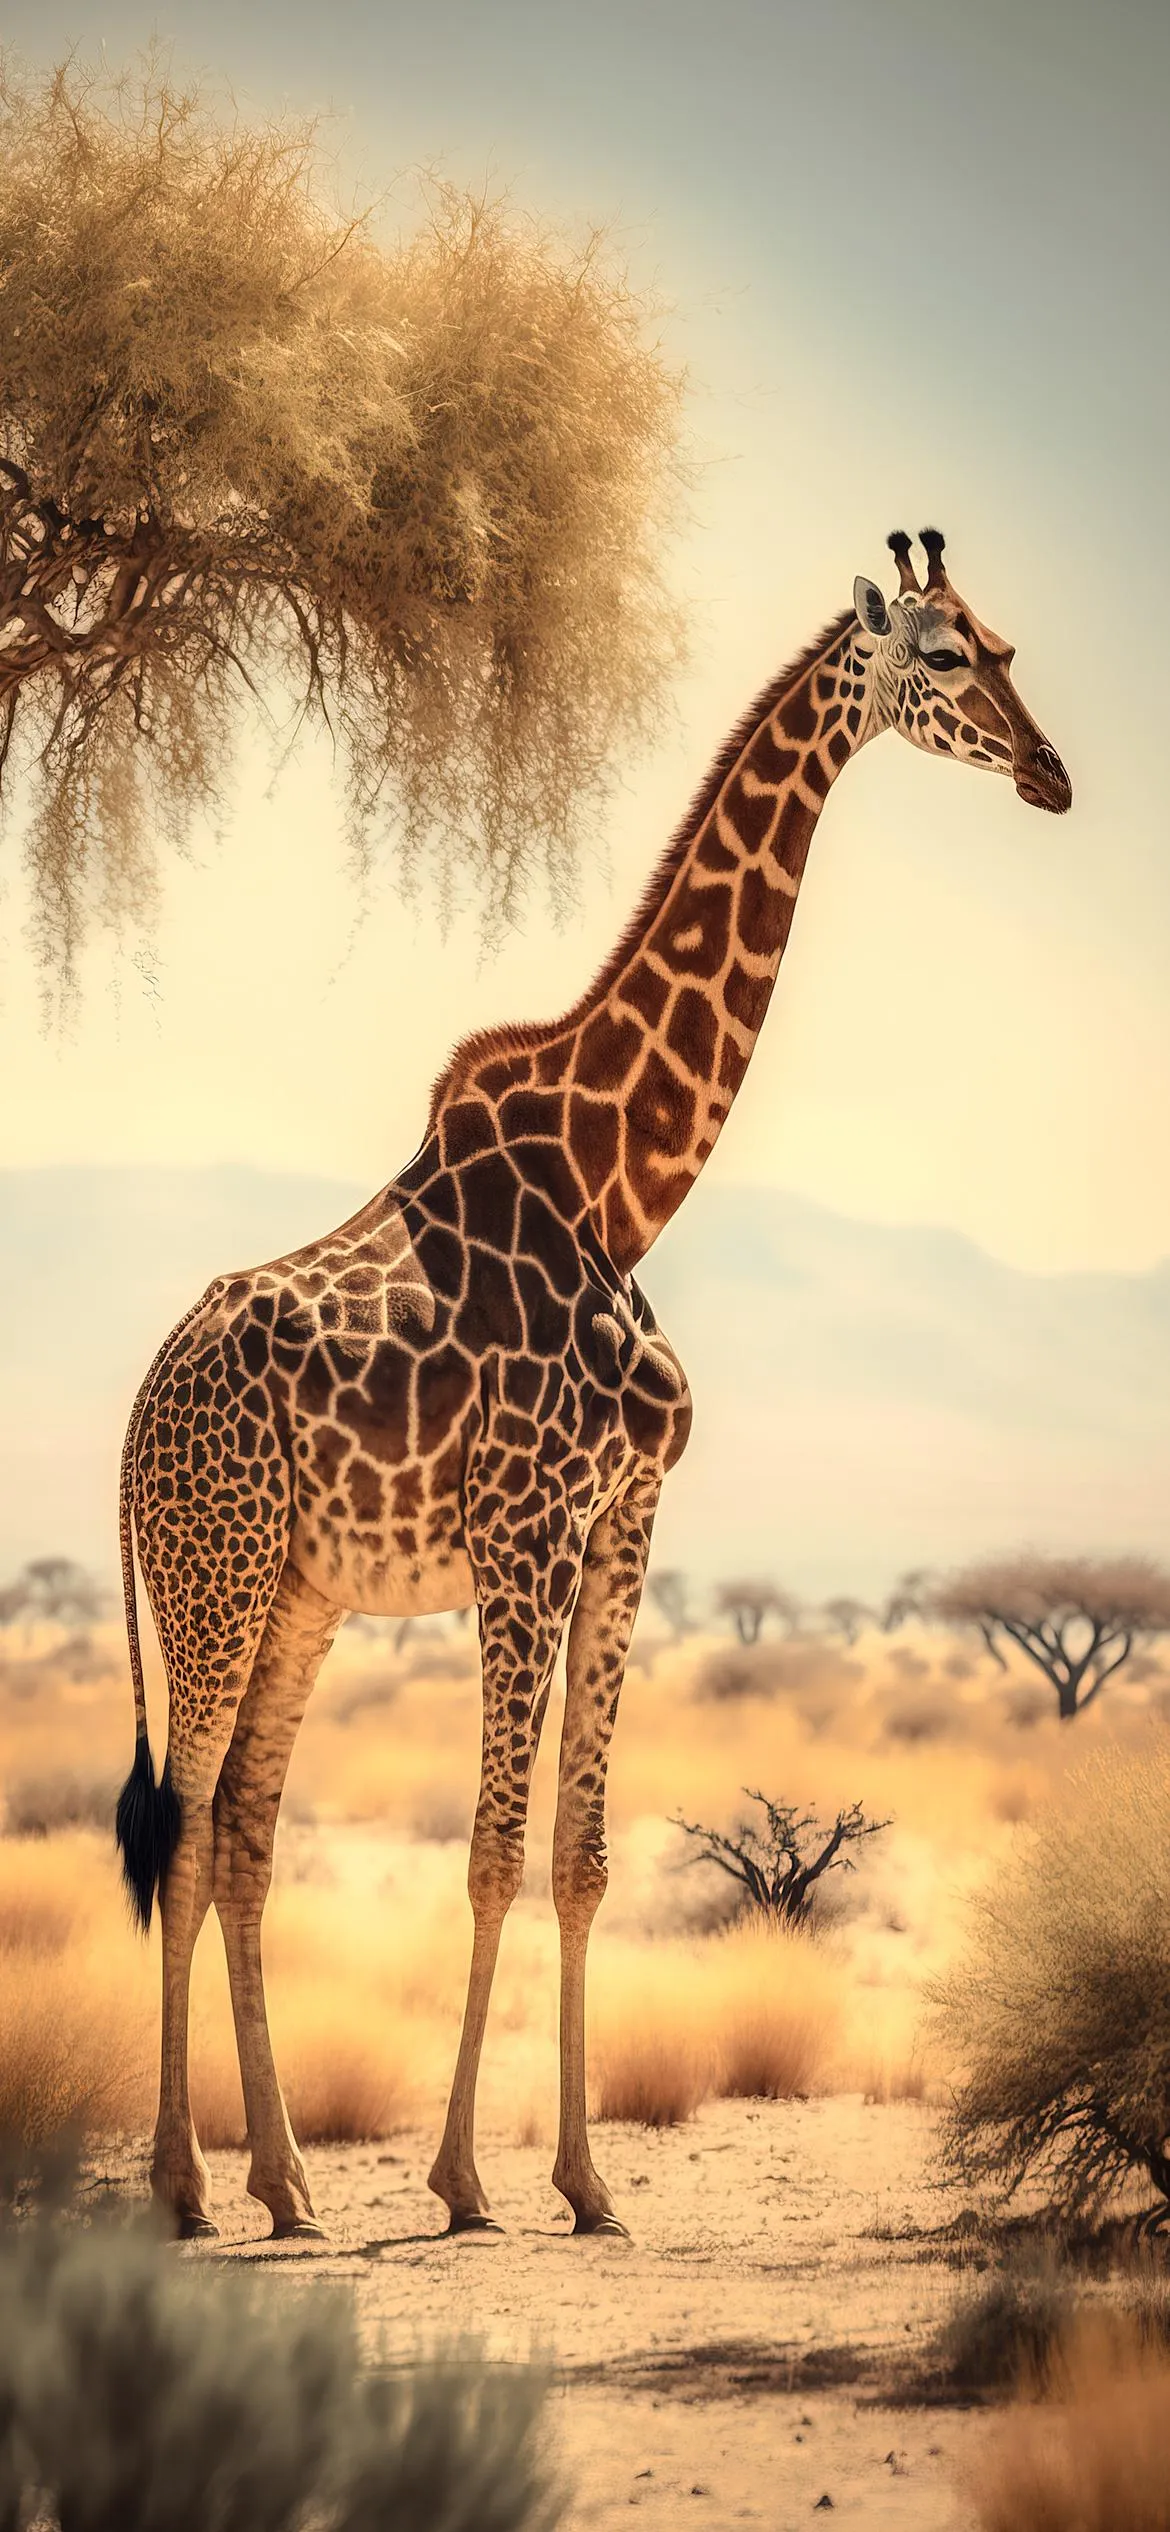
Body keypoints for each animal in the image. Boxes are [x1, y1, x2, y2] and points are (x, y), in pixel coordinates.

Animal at [116, 528, 1070, 2240]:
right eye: (945, 657)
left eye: (1009, 644)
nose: (1050, 775)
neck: (624, 1185)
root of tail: (138, 1413)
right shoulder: (525, 1528)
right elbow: (493, 1849)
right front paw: (459, 2181)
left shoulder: (624, 1522)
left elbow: (580, 1857)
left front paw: (585, 2180)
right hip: (209, 1577)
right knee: (183, 1831)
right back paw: (185, 2190)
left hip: (294, 1592)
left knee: (239, 1836)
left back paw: (287, 2186)